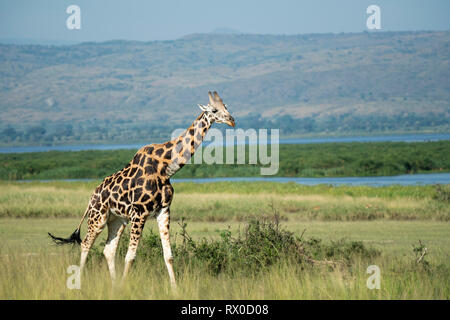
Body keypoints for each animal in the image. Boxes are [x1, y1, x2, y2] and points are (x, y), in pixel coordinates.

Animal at [48, 90, 236, 288]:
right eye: (214, 110)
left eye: (226, 107)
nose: (232, 120)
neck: (166, 168)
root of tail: (91, 198)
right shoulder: (139, 213)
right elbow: (130, 256)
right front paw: (124, 288)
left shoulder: (163, 210)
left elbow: (168, 256)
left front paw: (175, 289)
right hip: (98, 217)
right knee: (86, 244)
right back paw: (81, 283)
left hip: (117, 220)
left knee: (108, 250)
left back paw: (113, 285)